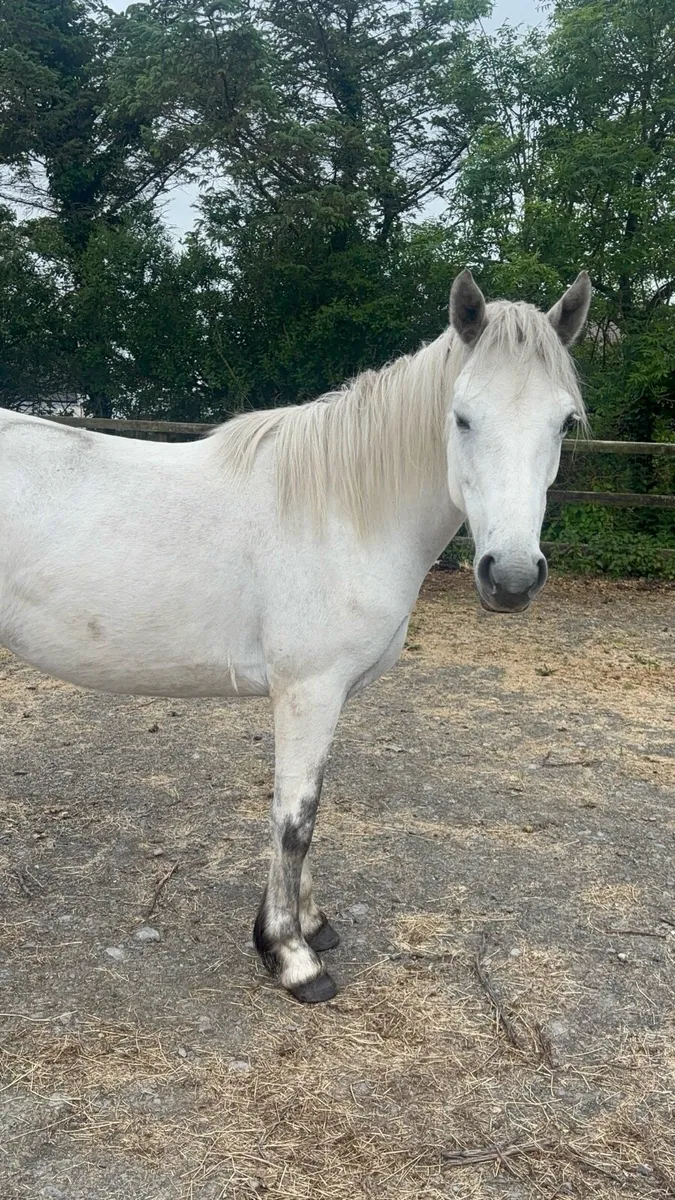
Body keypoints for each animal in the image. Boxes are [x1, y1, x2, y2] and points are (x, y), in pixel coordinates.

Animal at [0, 269, 591, 1003]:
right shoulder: (308, 691)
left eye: (563, 422)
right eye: (462, 416)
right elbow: (294, 819)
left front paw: (312, 924)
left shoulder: (328, 696)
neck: (341, 511)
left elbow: (312, 807)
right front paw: (289, 955)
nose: (509, 578)